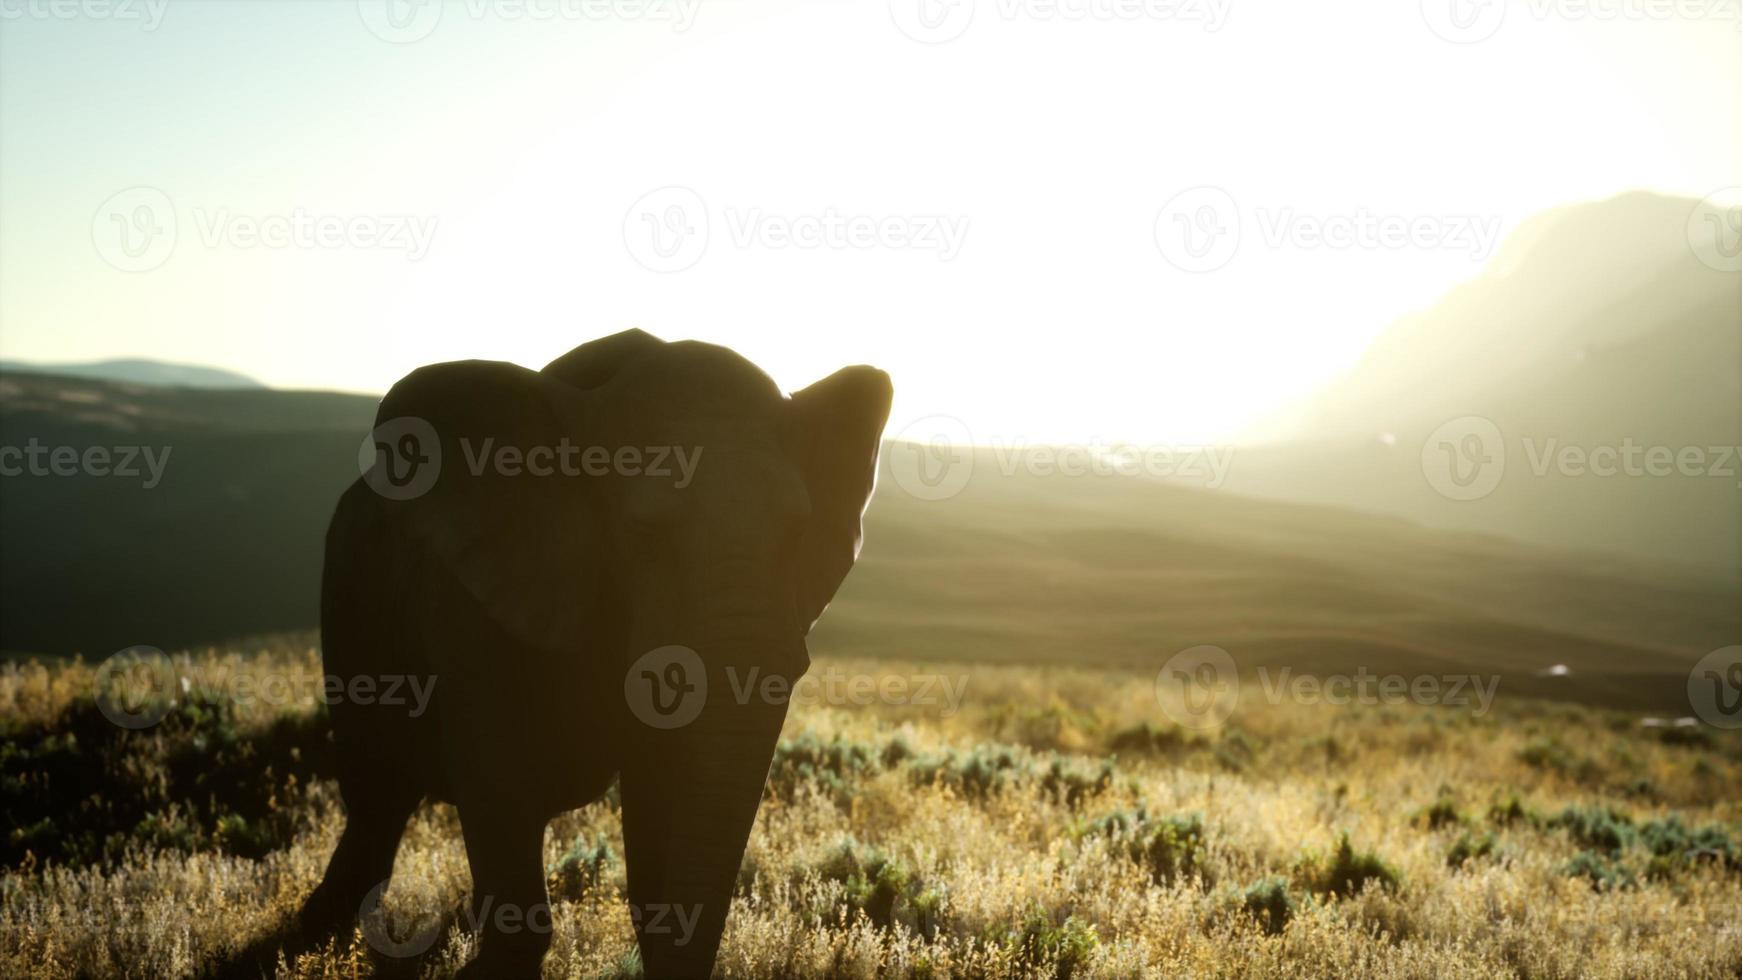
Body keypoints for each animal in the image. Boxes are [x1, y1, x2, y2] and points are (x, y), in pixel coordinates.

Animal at [299, 332, 891, 980]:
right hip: (346, 600)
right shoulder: (474, 615)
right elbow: (498, 786)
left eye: (796, 534)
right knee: (378, 794)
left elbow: (664, 806)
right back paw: (319, 933)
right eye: (644, 534)